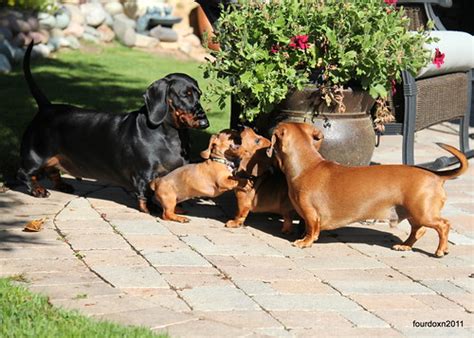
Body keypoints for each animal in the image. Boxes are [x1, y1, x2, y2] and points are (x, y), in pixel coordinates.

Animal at [268, 121, 468, 256]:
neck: (307, 166)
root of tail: (436, 176)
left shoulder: (310, 213)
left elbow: (311, 229)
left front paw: (305, 241)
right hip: (414, 213)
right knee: (418, 230)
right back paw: (405, 245)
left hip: (423, 213)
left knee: (443, 225)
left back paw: (440, 250)